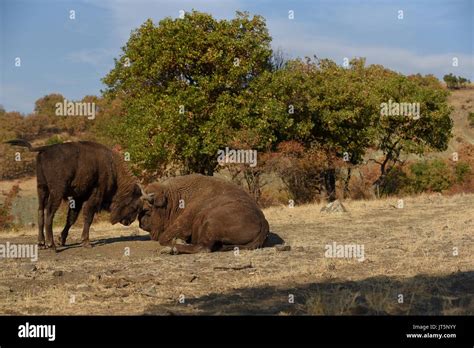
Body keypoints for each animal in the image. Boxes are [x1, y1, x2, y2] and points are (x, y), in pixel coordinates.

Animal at [5, 139, 144, 250]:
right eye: (135, 206)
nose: (129, 222)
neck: (113, 169)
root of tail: (46, 148)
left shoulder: (78, 199)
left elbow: (71, 219)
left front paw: (62, 240)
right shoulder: (93, 197)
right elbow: (88, 218)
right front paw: (86, 242)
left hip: (42, 188)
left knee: (40, 211)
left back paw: (41, 243)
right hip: (56, 192)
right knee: (49, 213)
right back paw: (51, 245)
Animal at [139, 173, 268, 253]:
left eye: (146, 210)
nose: (141, 224)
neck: (173, 198)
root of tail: (263, 221)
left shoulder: (184, 220)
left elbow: (164, 238)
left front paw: (177, 241)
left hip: (211, 222)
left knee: (203, 247)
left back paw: (172, 249)